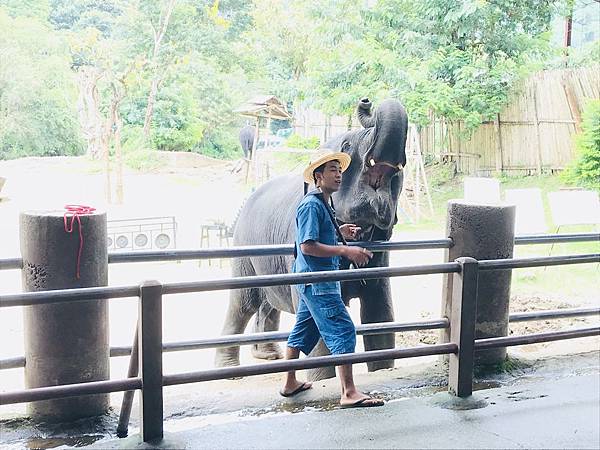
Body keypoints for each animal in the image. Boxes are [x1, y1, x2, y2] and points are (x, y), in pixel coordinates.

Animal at [218, 98, 410, 380]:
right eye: (346, 146)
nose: (366, 102)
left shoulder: (381, 257)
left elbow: (381, 314)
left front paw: (383, 370)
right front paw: (324, 380)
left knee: (268, 302)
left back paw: (268, 355)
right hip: (244, 250)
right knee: (242, 303)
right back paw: (230, 371)